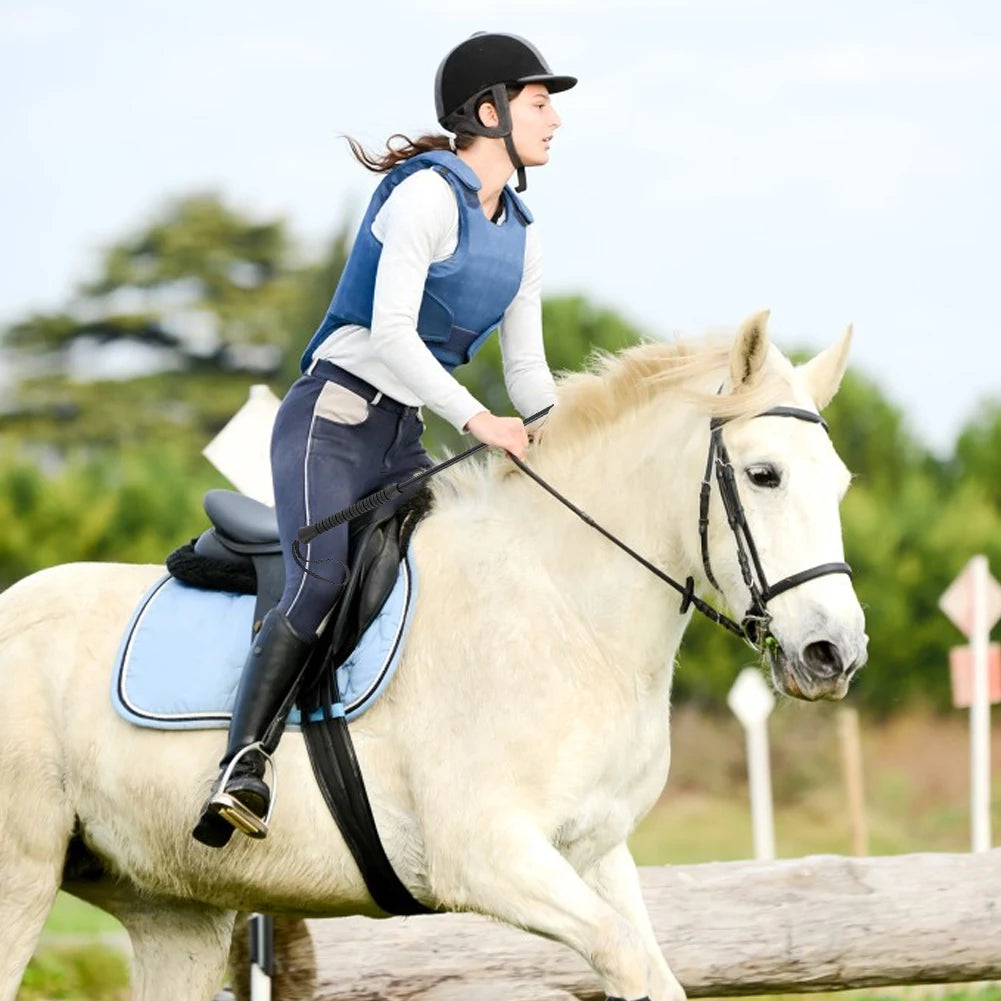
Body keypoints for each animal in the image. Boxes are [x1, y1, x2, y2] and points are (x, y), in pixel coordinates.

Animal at [0, 311, 867, 1001]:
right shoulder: (486, 855)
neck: (566, 609)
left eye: (840, 482)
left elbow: (654, 971)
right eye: (763, 474)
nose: (835, 653)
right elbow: (620, 954)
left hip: (172, 910)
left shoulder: (593, 852)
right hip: (24, 877)